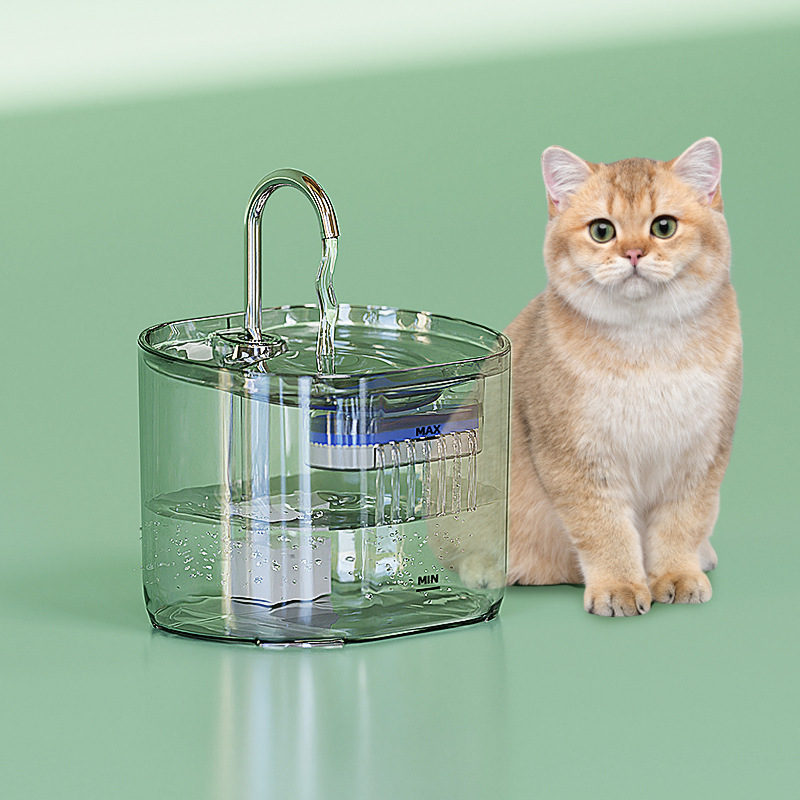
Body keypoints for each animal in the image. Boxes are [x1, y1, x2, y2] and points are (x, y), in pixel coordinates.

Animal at [505, 137, 742, 616]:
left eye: (664, 227)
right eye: (602, 231)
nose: (633, 253)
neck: (648, 345)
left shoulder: (700, 453)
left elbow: (682, 521)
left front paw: (677, 574)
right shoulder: (576, 458)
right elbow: (604, 528)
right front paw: (619, 585)